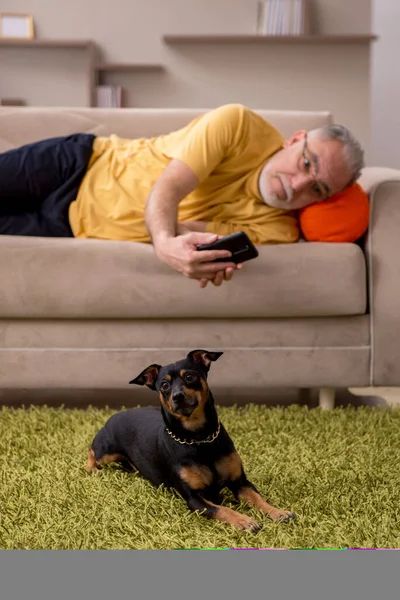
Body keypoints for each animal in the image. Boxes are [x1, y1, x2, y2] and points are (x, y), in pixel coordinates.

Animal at [86, 350, 294, 532]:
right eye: (164, 385)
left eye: (190, 376)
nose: (178, 396)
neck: (199, 438)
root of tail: (114, 416)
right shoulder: (194, 499)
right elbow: (223, 509)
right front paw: (244, 520)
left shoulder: (240, 482)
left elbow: (258, 499)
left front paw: (278, 512)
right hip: (107, 452)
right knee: (92, 450)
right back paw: (92, 469)